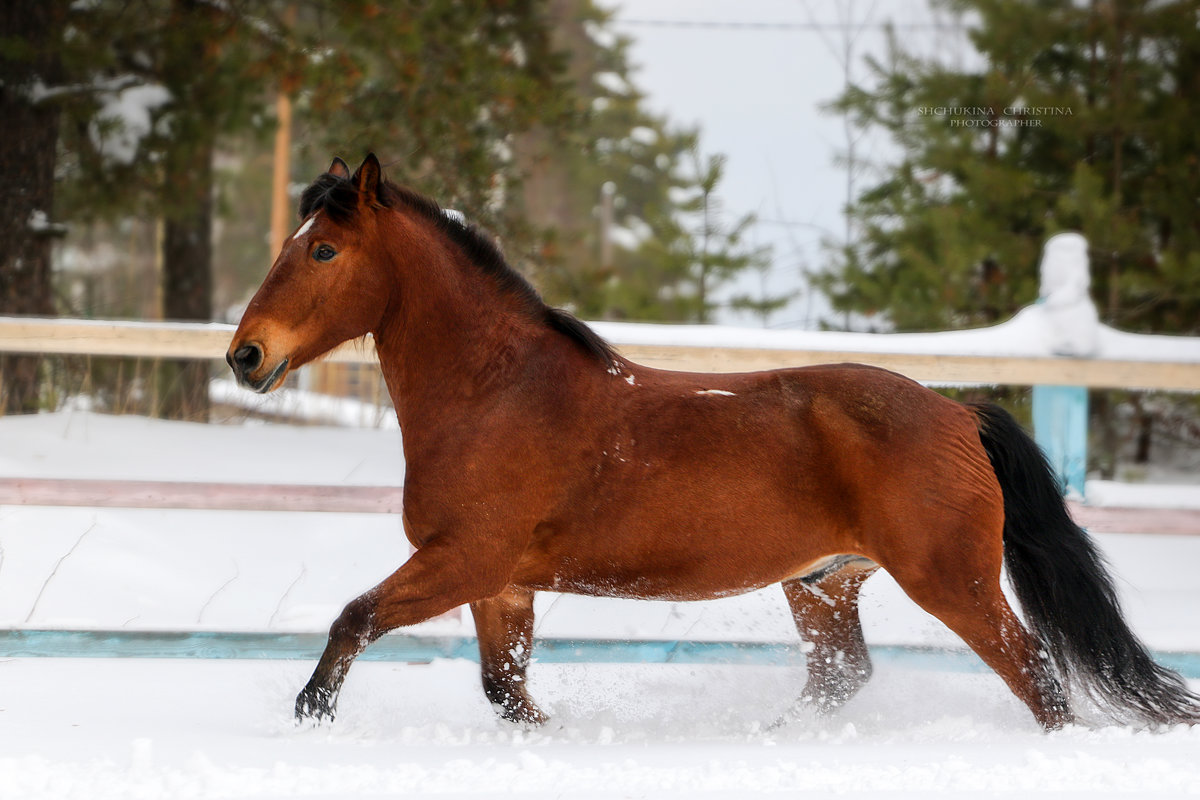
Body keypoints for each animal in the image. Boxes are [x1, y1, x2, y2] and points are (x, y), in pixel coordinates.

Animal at [226, 154, 1200, 734]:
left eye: (322, 251)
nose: (247, 356)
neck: (497, 394)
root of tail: (959, 415)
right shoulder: (501, 583)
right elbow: (507, 692)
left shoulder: (465, 558)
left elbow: (354, 618)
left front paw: (309, 717)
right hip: (823, 584)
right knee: (843, 678)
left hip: (950, 581)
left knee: (1037, 677)